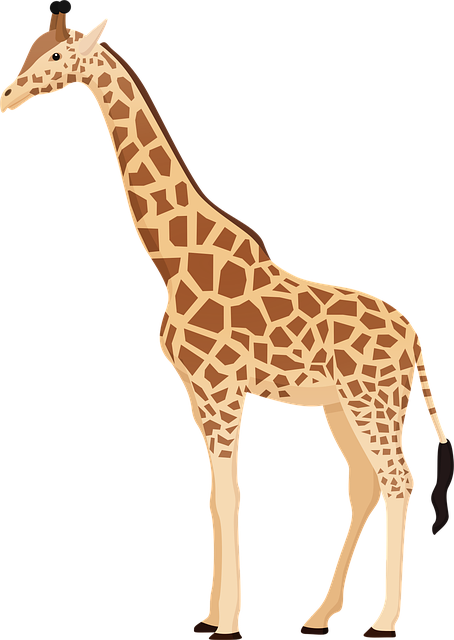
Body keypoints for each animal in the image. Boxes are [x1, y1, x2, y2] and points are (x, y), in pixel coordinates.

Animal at [1, 3, 452, 639]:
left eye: (59, 55)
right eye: (31, 50)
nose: (6, 97)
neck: (172, 262)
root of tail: (414, 337)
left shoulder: (222, 389)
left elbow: (232, 492)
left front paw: (230, 622)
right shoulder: (195, 392)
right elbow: (213, 497)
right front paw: (210, 613)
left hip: (377, 400)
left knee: (398, 480)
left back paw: (384, 621)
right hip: (341, 405)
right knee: (363, 484)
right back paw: (320, 615)